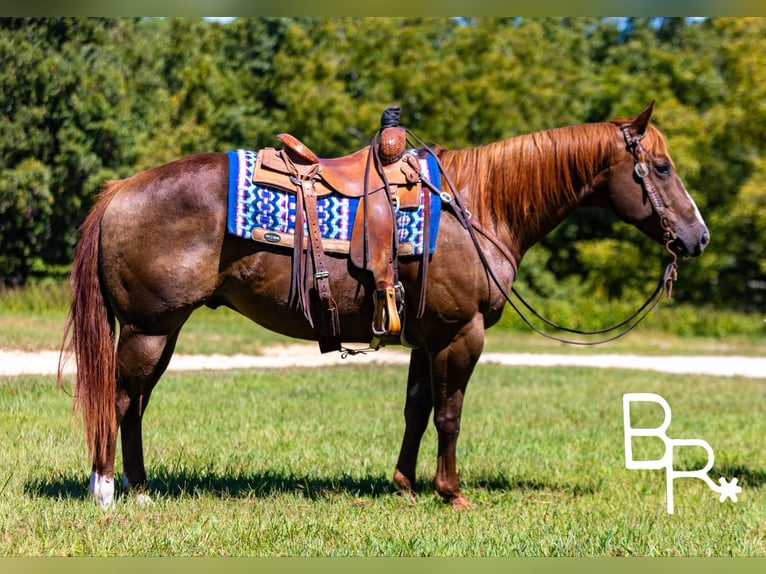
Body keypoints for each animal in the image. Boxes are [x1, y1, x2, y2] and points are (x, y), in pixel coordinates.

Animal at [59, 102, 709, 509]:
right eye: (661, 167)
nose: (697, 237)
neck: (477, 204)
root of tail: (120, 191)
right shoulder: (461, 334)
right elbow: (450, 415)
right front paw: (451, 493)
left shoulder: (427, 338)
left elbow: (417, 411)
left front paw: (404, 484)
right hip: (147, 329)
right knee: (120, 400)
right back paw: (107, 491)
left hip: (160, 332)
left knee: (134, 405)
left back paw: (140, 488)